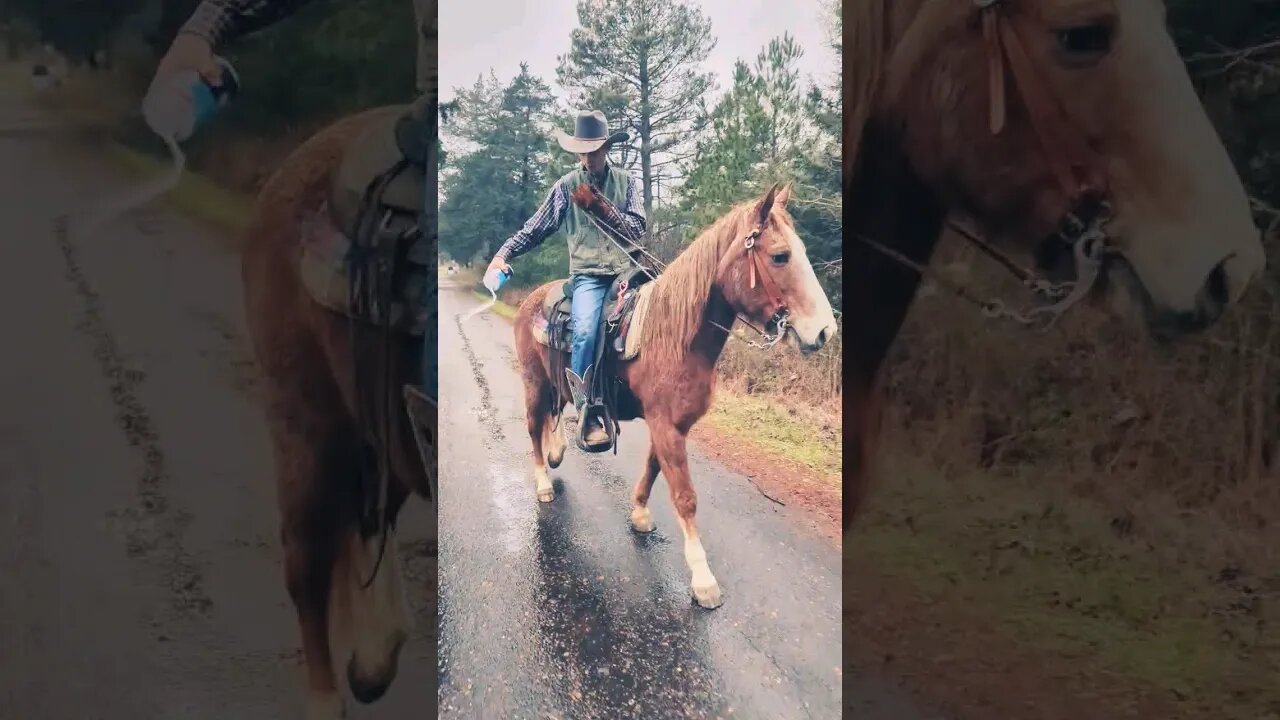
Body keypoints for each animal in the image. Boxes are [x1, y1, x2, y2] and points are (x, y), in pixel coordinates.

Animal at [512, 180, 839, 604]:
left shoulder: (671, 424)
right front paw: (702, 578)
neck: (674, 335)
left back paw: (557, 453)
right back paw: (543, 483)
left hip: (556, 382)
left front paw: (639, 514)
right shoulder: (666, 425)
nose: (825, 331)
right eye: (780, 256)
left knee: (555, 416)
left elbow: (653, 469)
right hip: (533, 383)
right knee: (534, 428)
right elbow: (684, 495)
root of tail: (532, 300)